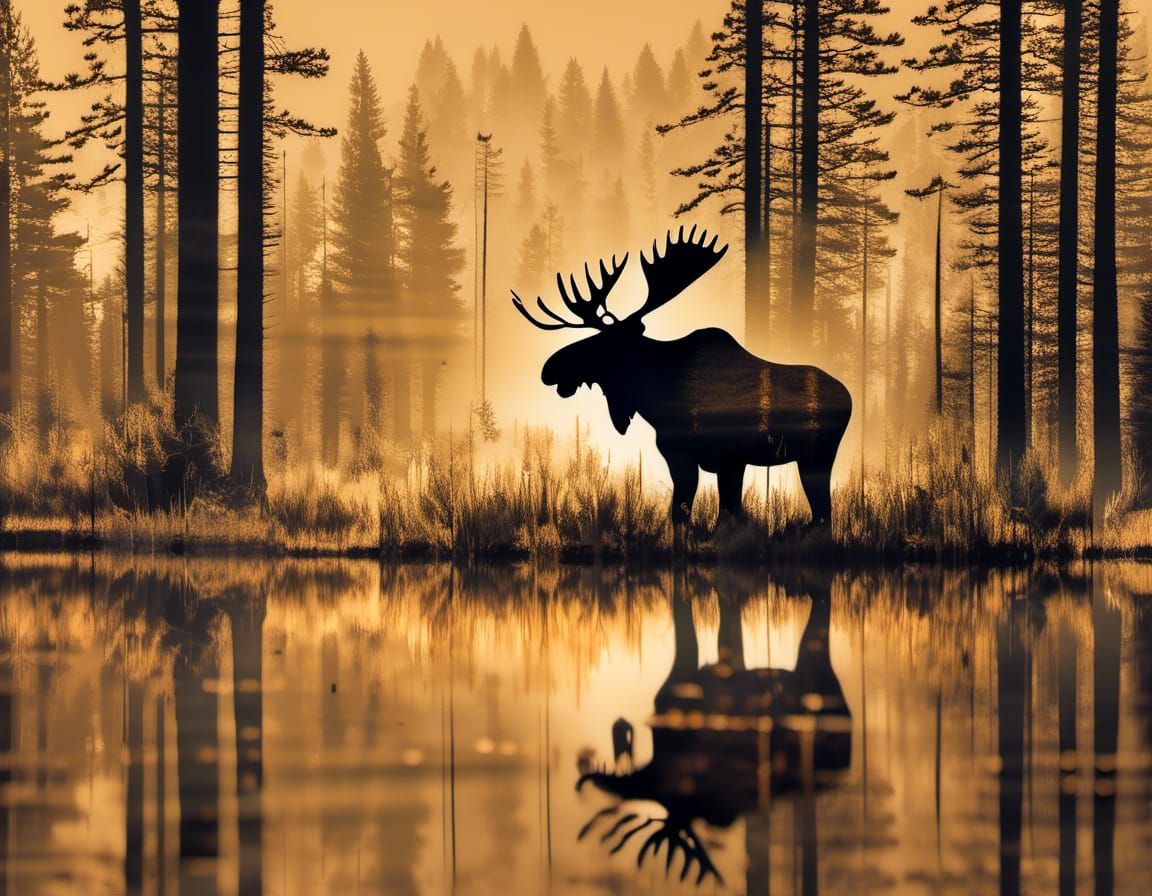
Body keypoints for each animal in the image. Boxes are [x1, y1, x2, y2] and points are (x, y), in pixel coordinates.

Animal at [512, 226, 852, 528]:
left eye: (602, 343)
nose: (549, 368)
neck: (656, 397)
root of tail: (848, 398)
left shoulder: (702, 456)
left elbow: (693, 514)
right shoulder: (721, 461)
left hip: (817, 456)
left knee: (823, 513)